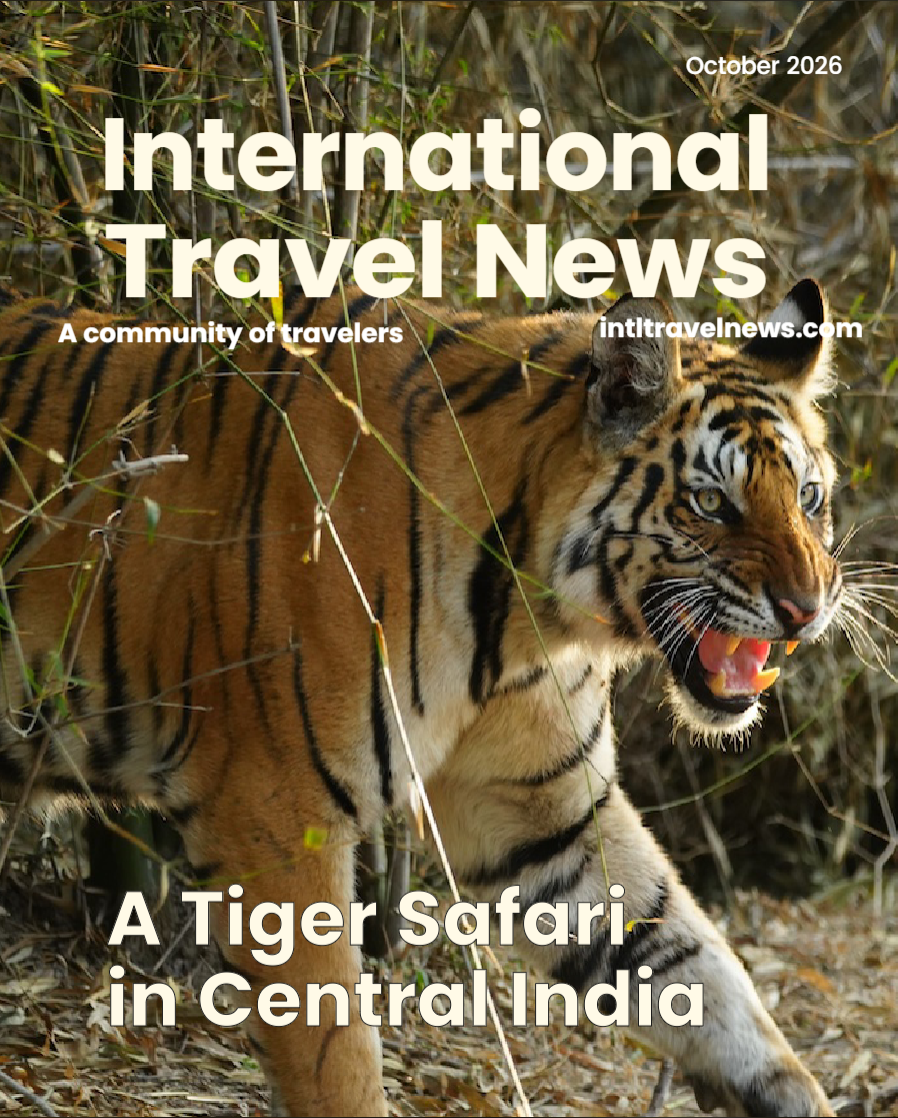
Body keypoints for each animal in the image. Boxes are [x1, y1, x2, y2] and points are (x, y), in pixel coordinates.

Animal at [0, 277, 842, 1116]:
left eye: (809, 496)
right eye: (712, 503)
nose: (808, 608)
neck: (529, 621)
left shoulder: (547, 816)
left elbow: (692, 962)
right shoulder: (274, 814)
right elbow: (335, 1052)